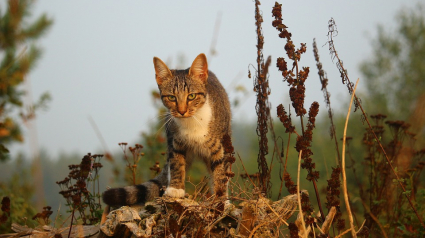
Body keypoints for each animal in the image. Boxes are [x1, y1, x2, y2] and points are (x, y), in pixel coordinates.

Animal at [101, 54, 230, 206]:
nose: (181, 111)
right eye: (172, 97)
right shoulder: (175, 142)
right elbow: (176, 163)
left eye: (191, 96)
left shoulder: (221, 147)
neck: (191, 122)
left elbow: (220, 172)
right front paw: (175, 189)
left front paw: (221, 199)